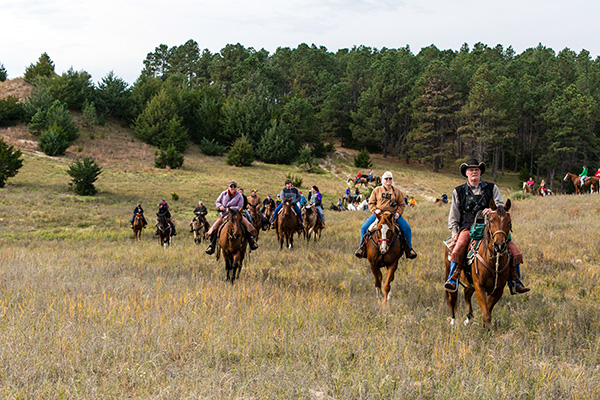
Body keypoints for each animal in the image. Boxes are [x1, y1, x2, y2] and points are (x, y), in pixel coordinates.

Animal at [442, 198, 512, 330]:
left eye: (509, 222)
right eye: (491, 220)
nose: (499, 246)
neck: (493, 260)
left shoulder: (498, 289)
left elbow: (487, 309)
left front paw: (485, 327)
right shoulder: (480, 287)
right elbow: (486, 313)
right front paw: (486, 330)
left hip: (470, 283)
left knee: (467, 293)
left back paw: (468, 318)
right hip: (450, 274)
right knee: (452, 297)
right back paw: (453, 321)